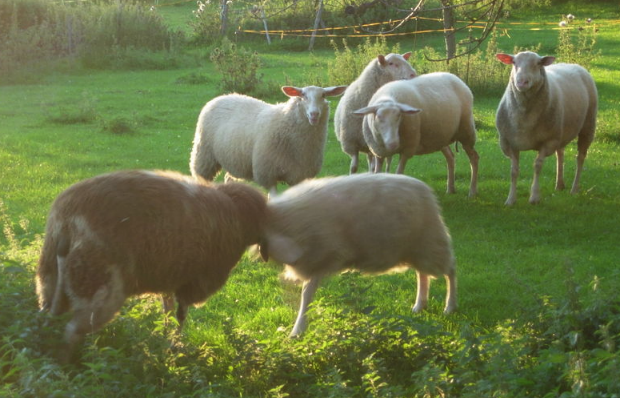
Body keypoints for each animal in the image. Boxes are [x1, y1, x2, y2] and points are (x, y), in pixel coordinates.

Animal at [35, 169, 266, 360]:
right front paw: (175, 348)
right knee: (72, 331)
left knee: (47, 316)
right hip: (98, 286)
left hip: (50, 277)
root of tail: (68, 222)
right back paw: (68, 364)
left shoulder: (171, 277)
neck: (236, 212)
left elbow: (168, 311)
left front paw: (164, 340)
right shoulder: (191, 283)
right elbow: (181, 316)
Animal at [189, 85, 348, 196]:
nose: (314, 114)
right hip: (204, 155)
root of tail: (224, 95)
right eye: (302, 95)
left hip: (233, 157)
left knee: (229, 178)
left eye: (323, 95)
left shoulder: (298, 175)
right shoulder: (267, 173)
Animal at [260, 173, 458, 336]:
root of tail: (424, 188)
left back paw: (450, 306)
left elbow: (306, 294)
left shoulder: (322, 257)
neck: (281, 219)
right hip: (418, 248)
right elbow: (307, 292)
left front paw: (297, 330)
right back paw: (419, 305)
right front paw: (299, 328)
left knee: (450, 271)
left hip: (431, 241)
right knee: (422, 273)